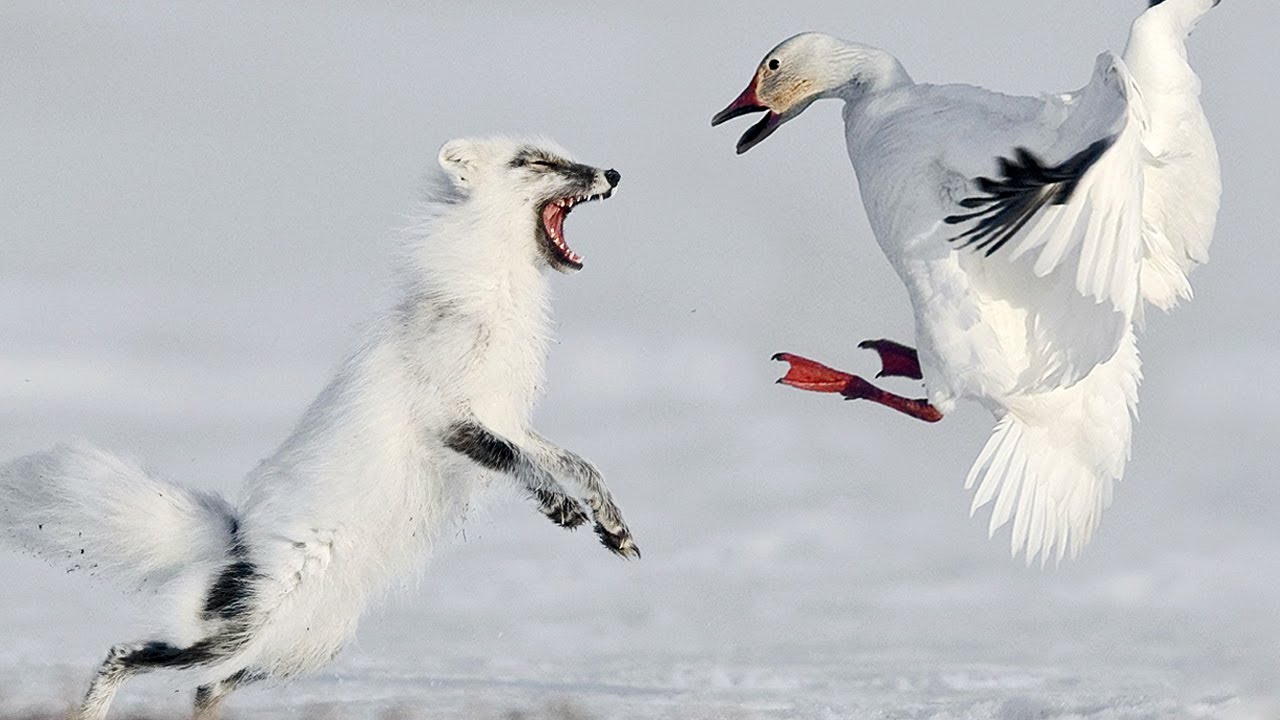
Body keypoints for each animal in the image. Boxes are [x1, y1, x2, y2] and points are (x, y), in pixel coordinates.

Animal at [0, 135, 640, 717]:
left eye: (563, 153)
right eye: (534, 161)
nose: (612, 172)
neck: (495, 294)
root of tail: (234, 538)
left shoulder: (507, 419)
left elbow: (576, 463)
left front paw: (608, 524)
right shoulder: (453, 423)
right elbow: (528, 464)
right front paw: (570, 510)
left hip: (305, 647)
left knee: (207, 688)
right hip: (242, 632)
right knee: (126, 654)